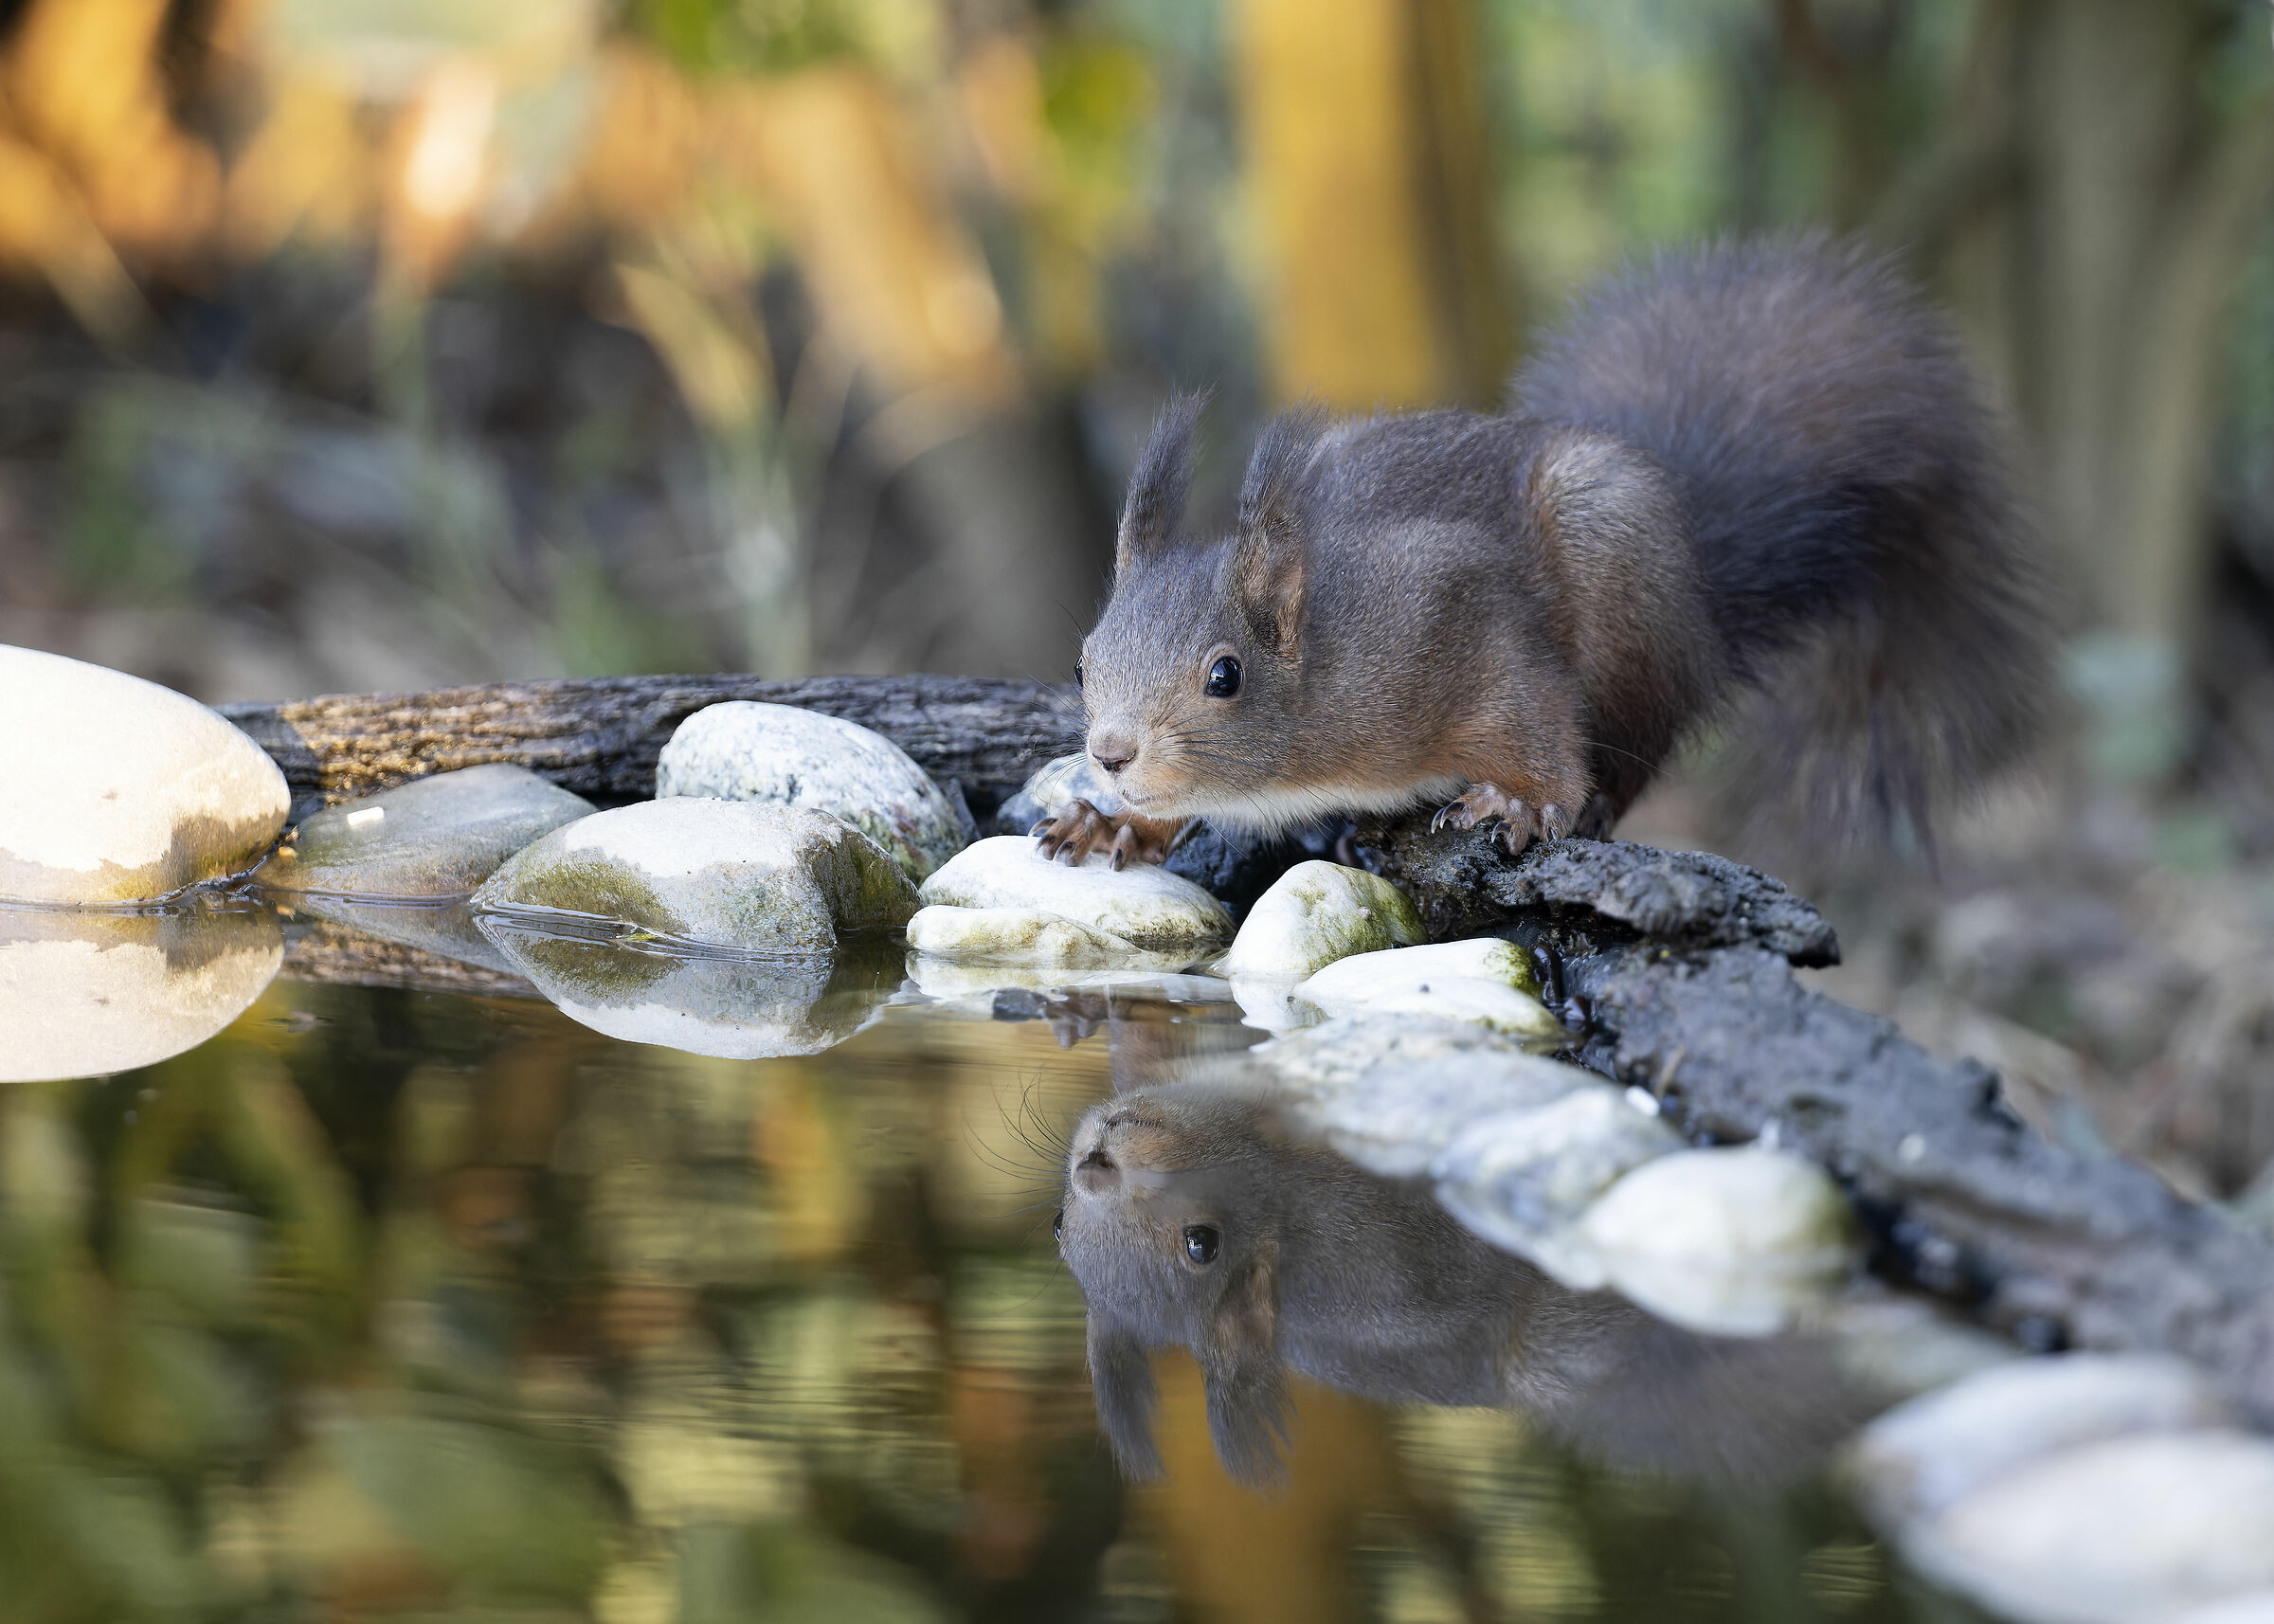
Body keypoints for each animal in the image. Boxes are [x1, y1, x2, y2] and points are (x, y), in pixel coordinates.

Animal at [1035, 236, 2050, 867]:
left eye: (1224, 676)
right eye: (1082, 663)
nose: (1111, 754)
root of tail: (1698, 602)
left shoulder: (1445, 618)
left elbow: (1532, 718)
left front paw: (1524, 805)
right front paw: (1113, 825)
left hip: (1620, 586)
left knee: (1636, 752)